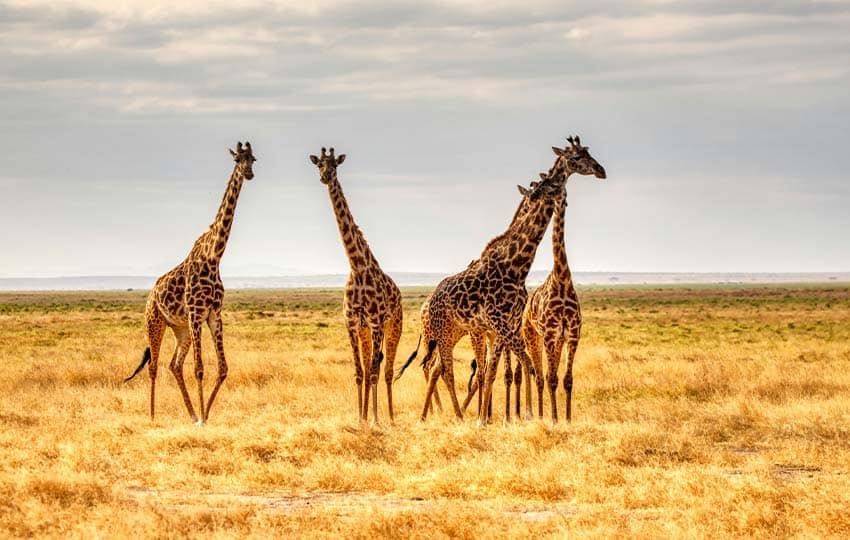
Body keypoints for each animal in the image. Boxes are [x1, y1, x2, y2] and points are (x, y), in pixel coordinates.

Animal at [124, 141, 256, 424]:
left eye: (253, 159)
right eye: (238, 159)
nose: (249, 173)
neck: (214, 256)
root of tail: (150, 296)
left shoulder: (213, 314)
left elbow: (222, 368)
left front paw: (203, 415)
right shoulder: (196, 313)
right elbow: (199, 368)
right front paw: (204, 419)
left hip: (180, 328)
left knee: (174, 364)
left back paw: (191, 412)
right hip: (155, 322)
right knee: (154, 366)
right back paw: (152, 416)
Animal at [310, 147, 403, 424]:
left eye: (335, 165)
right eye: (319, 164)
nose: (325, 176)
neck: (357, 267)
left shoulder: (376, 323)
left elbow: (373, 372)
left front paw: (374, 419)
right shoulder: (352, 323)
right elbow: (359, 372)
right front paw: (360, 419)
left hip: (394, 326)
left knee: (386, 369)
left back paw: (390, 417)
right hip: (365, 332)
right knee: (373, 365)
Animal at [523, 135, 606, 422]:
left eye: (586, 154)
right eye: (576, 156)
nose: (601, 171)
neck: (561, 279)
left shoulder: (571, 334)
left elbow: (567, 379)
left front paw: (567, 419)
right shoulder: (549, 334)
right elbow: (550, 378)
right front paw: (555, 419)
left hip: (555, 341)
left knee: (548, 375)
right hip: (533, 338)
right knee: (539, 376)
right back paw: (539, 415)